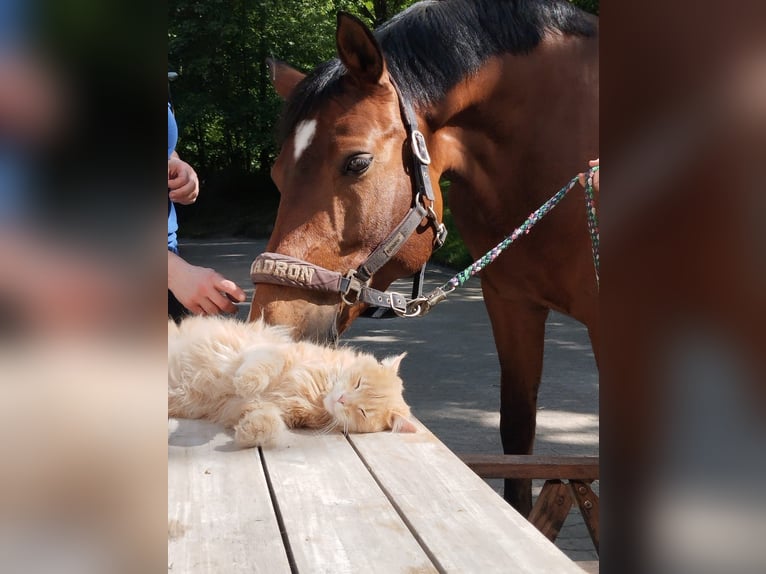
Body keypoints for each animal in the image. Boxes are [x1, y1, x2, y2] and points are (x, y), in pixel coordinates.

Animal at [170, 318, 416, 448]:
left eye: (362, 411)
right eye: (358, 383)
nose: (341, 399)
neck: (317, 395)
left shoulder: (259, 407)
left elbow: (271, 423)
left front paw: (250, 432)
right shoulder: (271, 350)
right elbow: (266, 364)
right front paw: (246, 382)